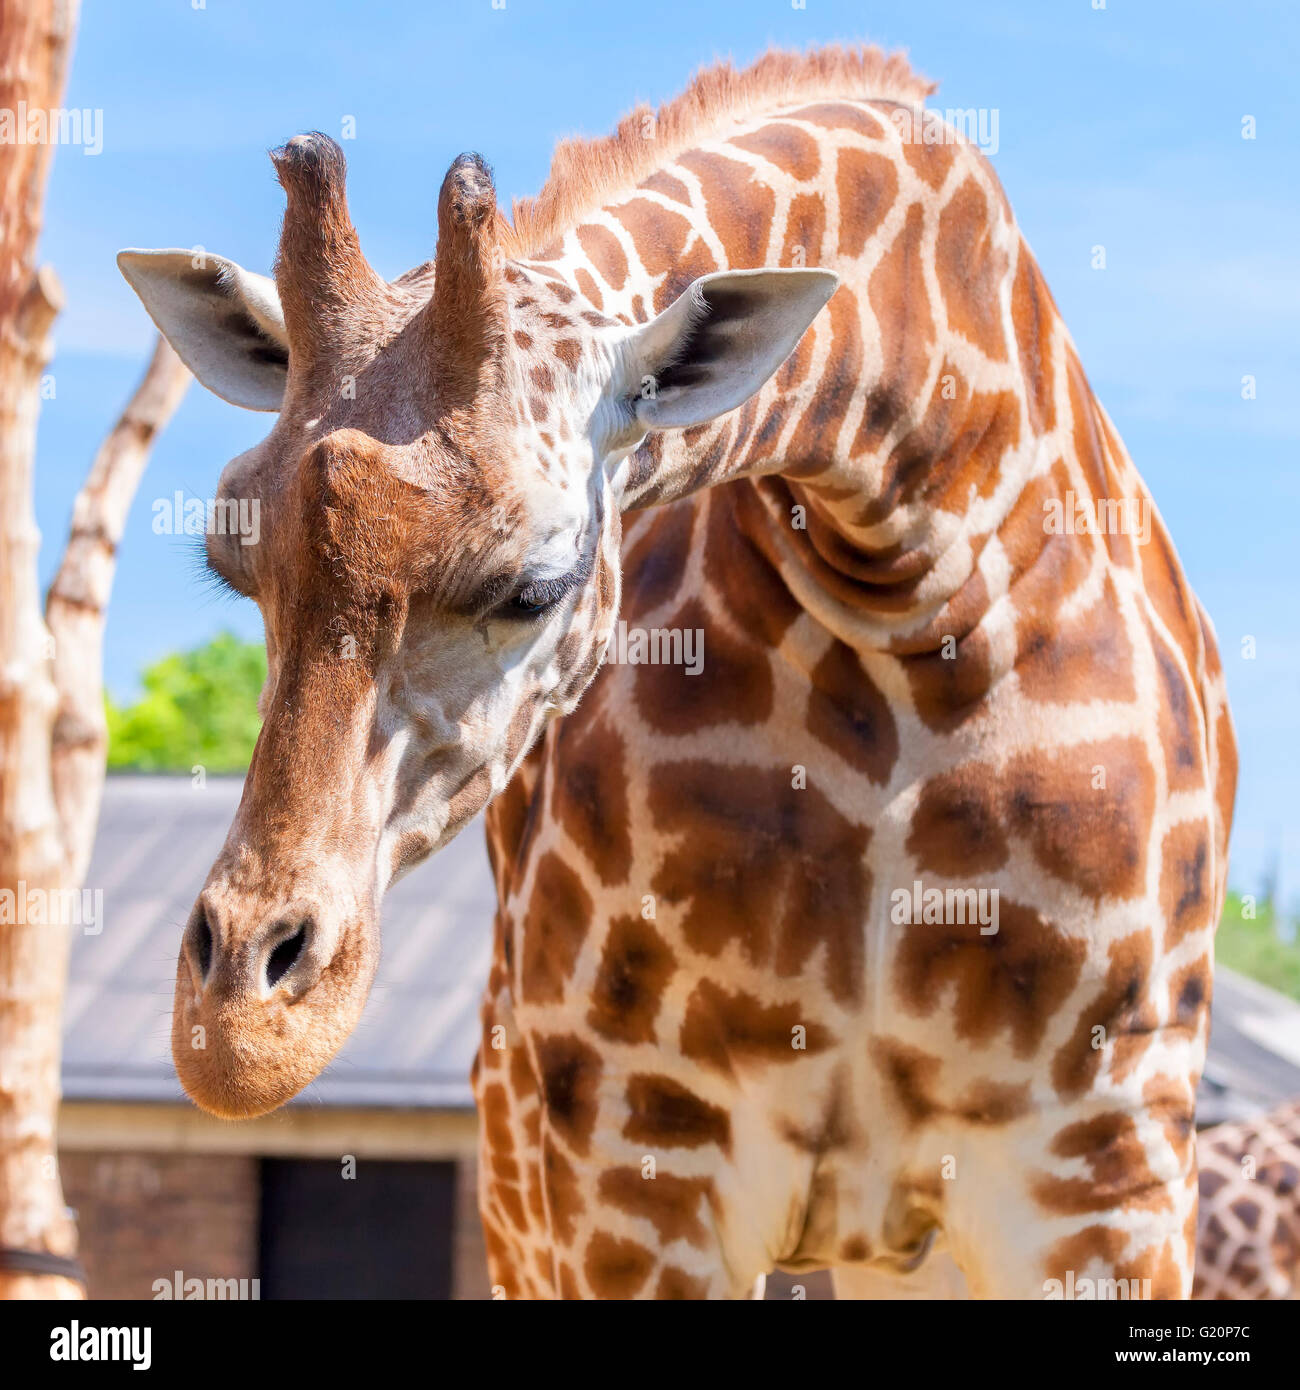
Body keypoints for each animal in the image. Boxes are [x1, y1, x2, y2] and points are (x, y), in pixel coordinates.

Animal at [117, 44, 1237, 1299]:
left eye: (537, 584)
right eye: (232, 557)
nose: (238, 1031)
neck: (914, 582)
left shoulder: (1109, 1160)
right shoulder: (634, 1149)